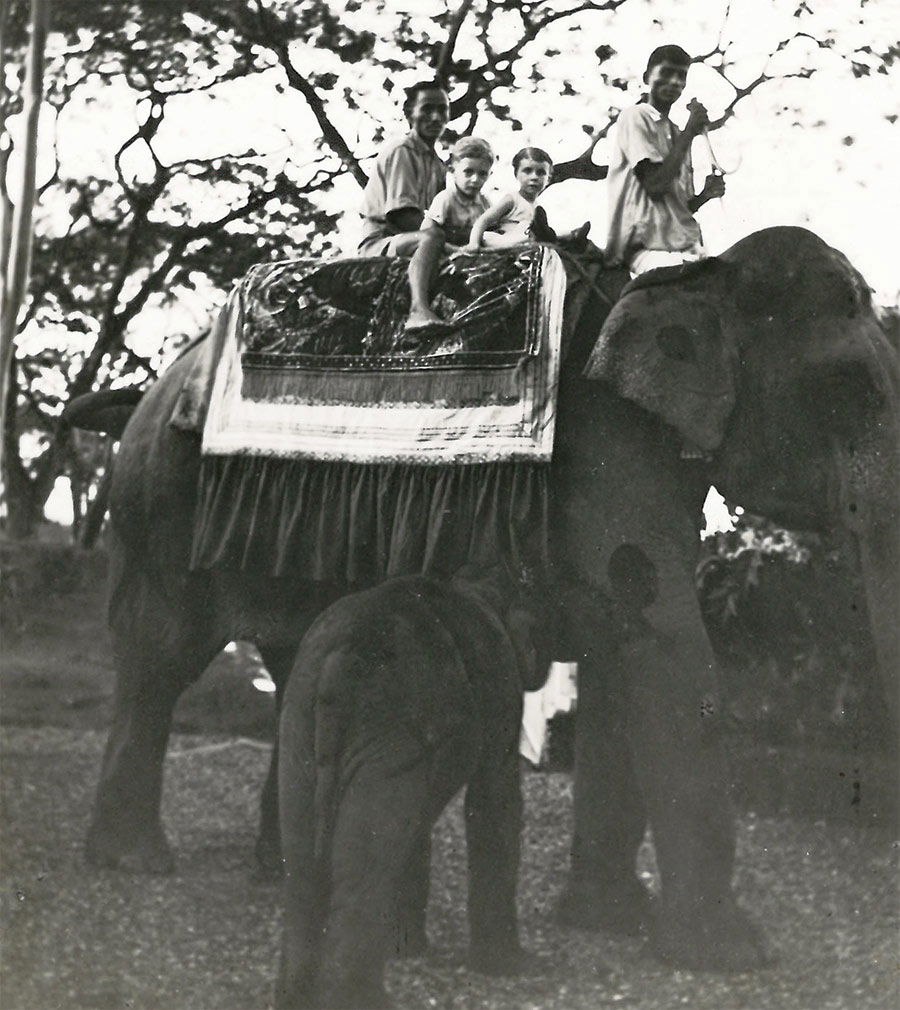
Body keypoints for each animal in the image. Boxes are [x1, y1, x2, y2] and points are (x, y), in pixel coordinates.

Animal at [274, 573, 549, 1005]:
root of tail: (339, 657)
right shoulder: (503, 685)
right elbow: (495, 800)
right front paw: (512, 967)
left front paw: (407, 948)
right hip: (388, 726)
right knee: (366, 870)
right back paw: (363, 999)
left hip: (298, 724)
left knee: (304, 870)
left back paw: (296, 997)